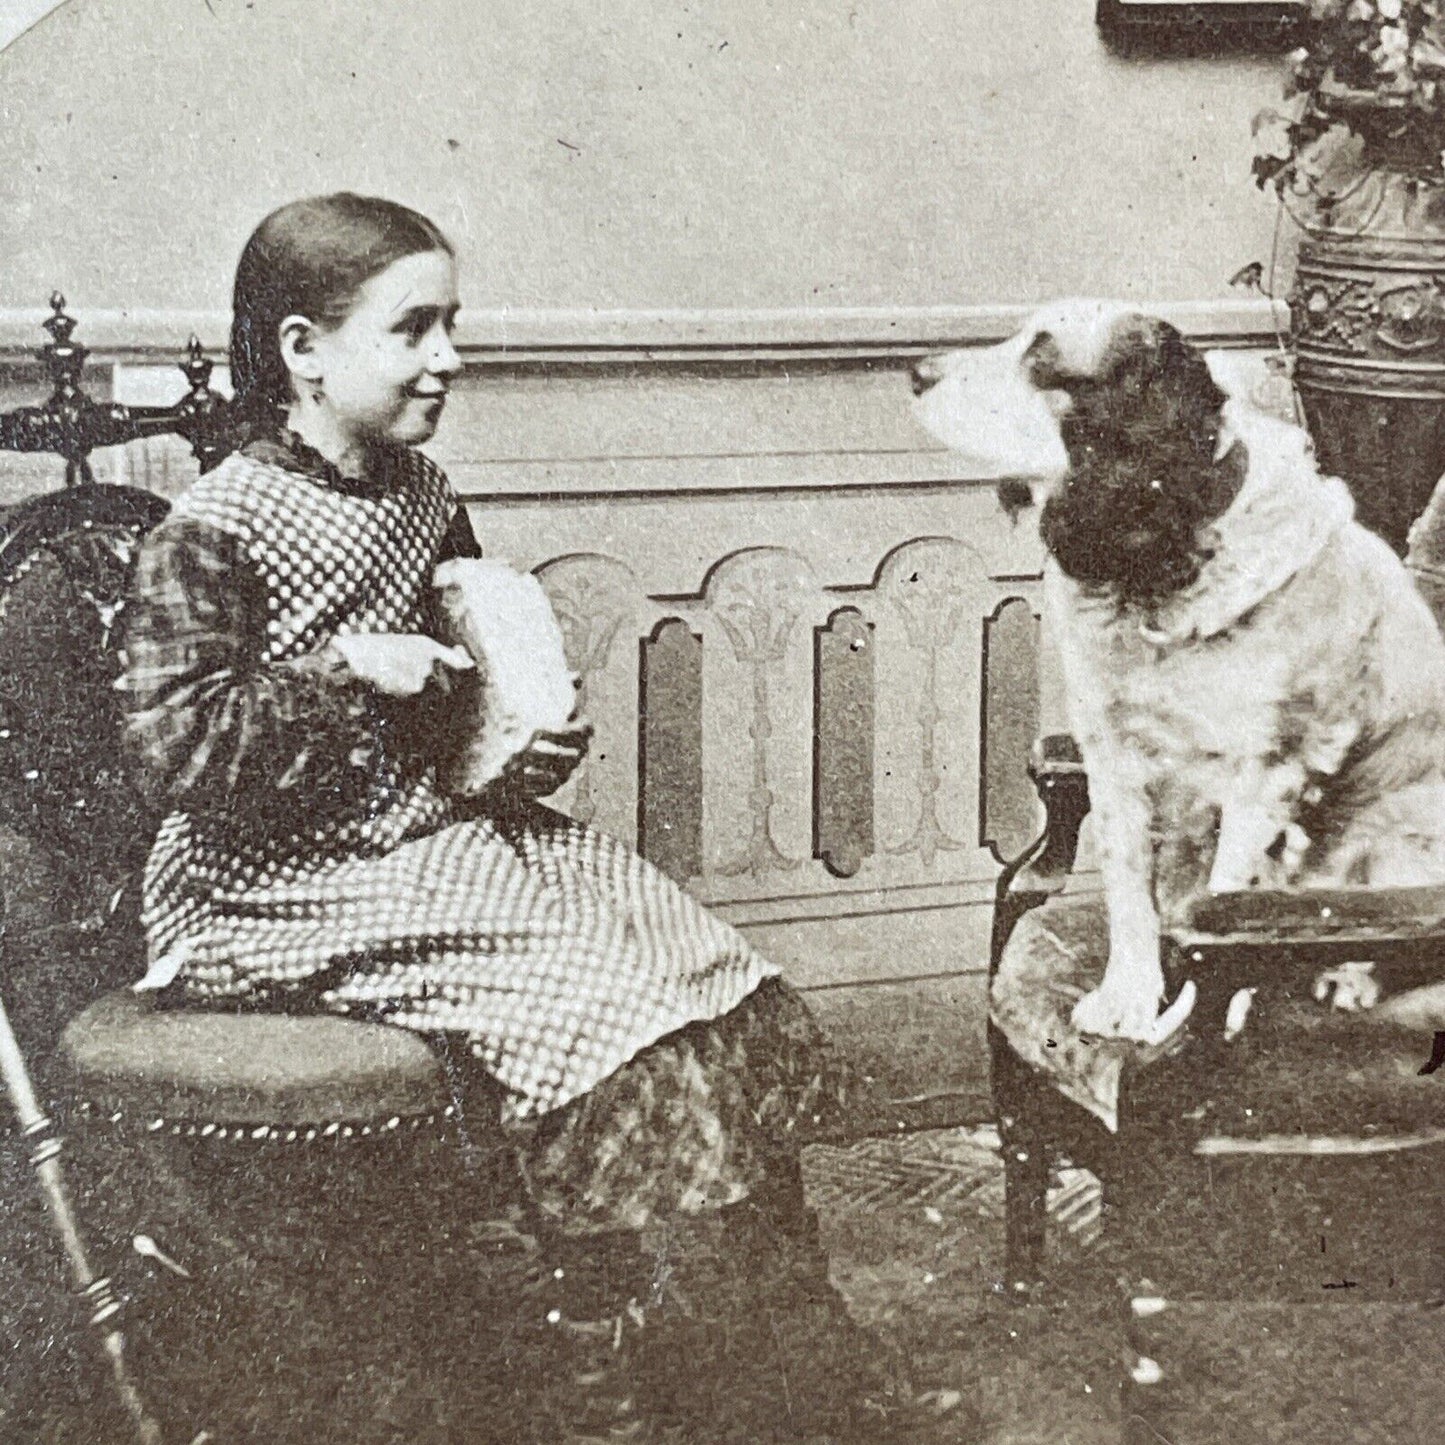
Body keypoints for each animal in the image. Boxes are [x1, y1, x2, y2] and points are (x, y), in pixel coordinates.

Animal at [907, 299, 1445, 1046]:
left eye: (1041, 357)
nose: (916, 371)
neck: (1168, 557)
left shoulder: (1265, 773)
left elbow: (1220, 891)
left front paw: (1210, 1012)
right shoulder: (1112, 756)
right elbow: (1131, 893)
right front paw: (1127, 999)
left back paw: (1349, 973)